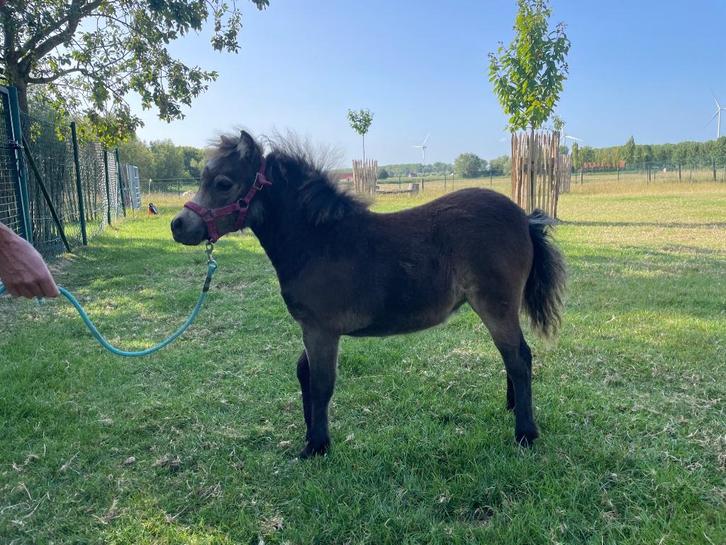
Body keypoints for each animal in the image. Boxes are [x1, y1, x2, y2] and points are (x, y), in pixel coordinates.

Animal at [171, 131, 566, 458]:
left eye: (224, 183)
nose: (178, 225)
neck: (318, 242)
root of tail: (524, 218)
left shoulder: (321, 330)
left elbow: (322, 383)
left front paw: (316, 446)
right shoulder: (311, 327)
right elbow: (303, 373)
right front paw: (310, 434)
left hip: (496, 306)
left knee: (519, 358)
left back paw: (525, 433)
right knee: (512, 358)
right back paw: (513, 409)